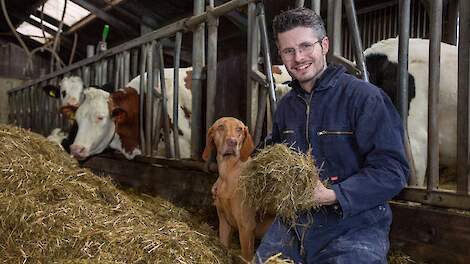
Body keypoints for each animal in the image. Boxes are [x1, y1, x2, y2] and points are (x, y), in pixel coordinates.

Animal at [203, 117, 276, 262]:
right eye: (221, 127)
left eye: (239, 129)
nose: (232, 142)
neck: (228, 171)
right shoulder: (224, 222)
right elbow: (224, 247)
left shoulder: (246, 227)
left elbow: (247, 257)